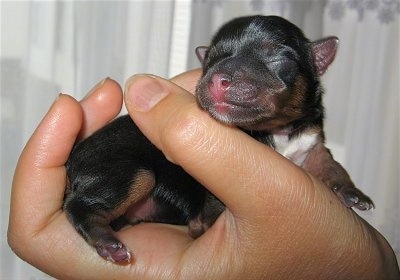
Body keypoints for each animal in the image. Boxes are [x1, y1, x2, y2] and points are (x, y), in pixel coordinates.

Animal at [63, 15, 376, 264]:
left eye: (279, 59)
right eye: (211, 60)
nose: (216, 79)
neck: (278, 130)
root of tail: (72, 162)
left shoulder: (311, 142)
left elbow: (329, 162)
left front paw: (352, 192)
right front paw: (202, 223)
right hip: (125, 170)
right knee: (78, 206)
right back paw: (108, 243)